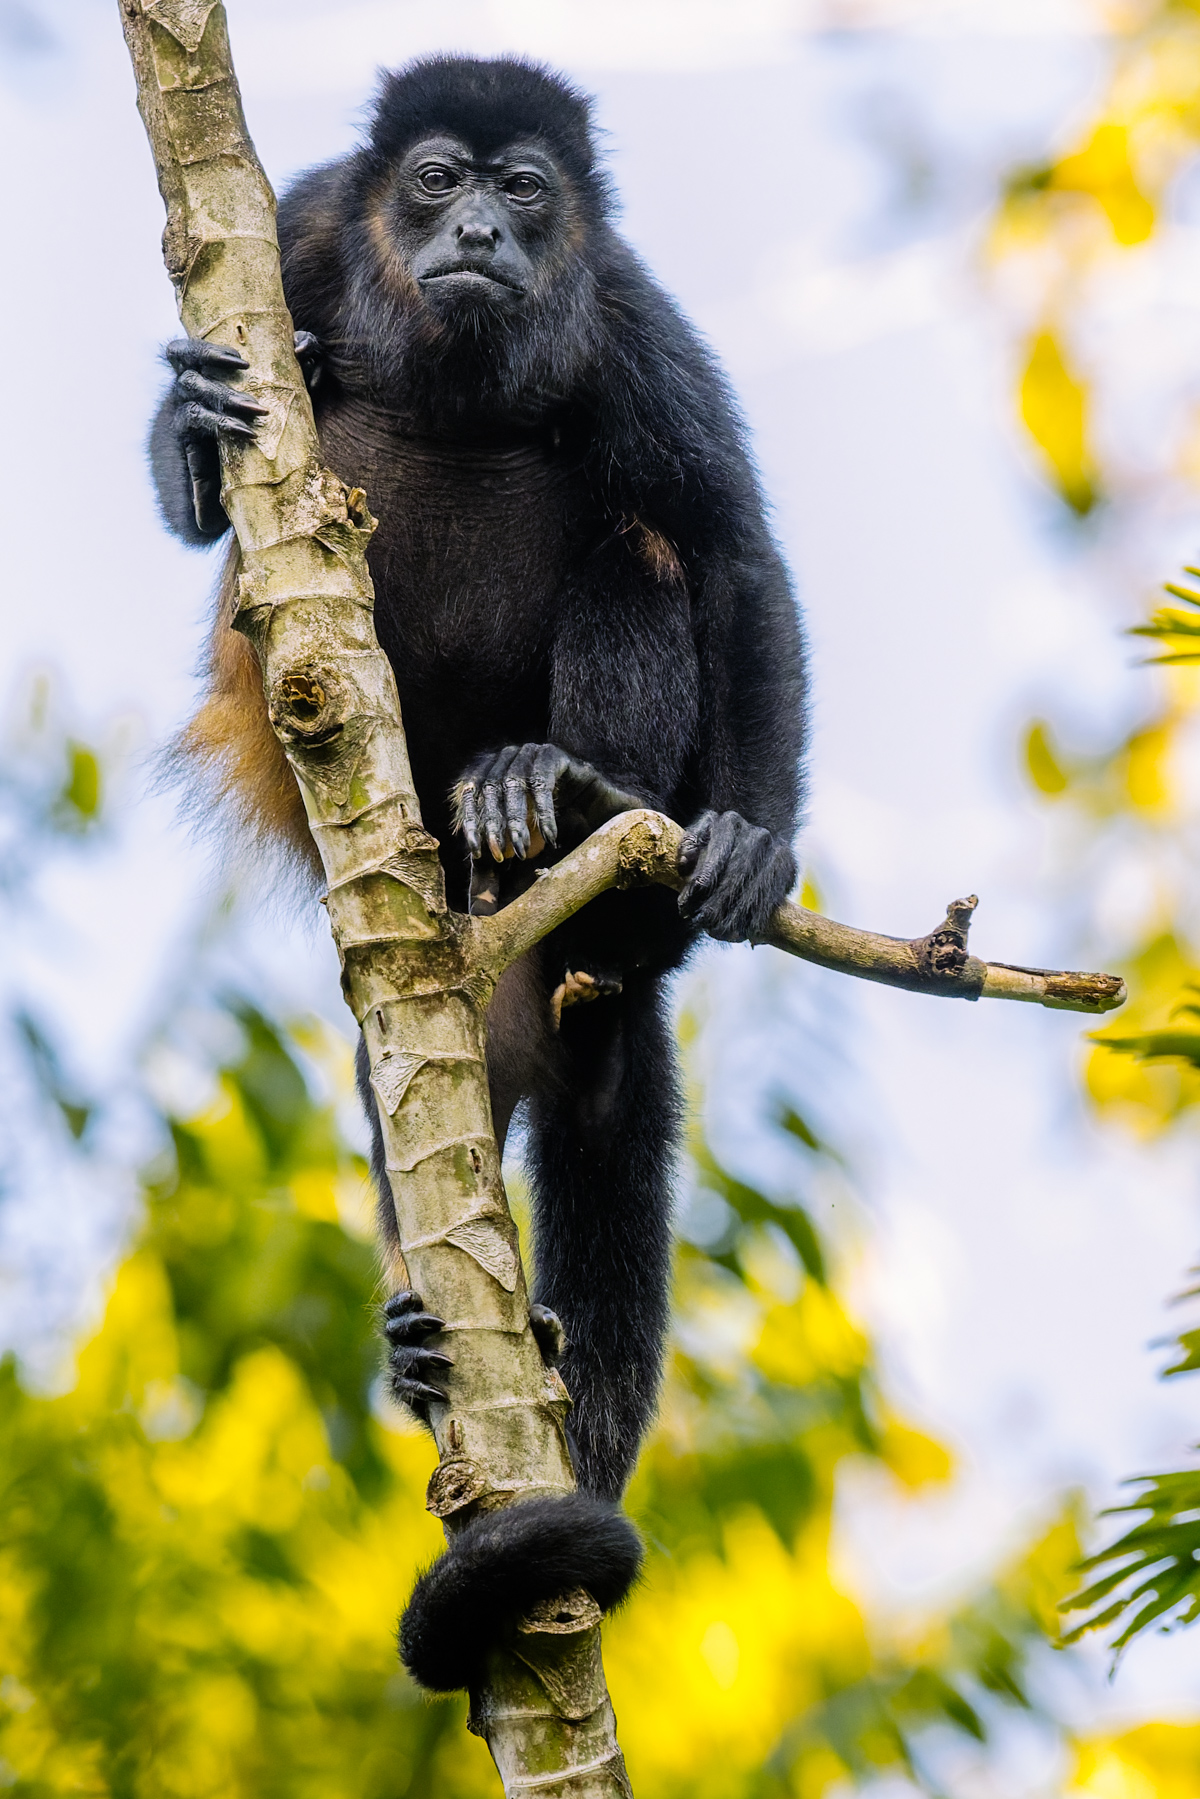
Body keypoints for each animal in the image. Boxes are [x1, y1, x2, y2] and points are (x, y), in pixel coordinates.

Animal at [149, 55, 806, 1692]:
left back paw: (572, 813)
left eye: (526, 191)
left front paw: (759, 840)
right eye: (439, 180)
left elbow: (732, 550)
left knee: (641, 552)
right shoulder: (302, 230)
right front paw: (185, 422)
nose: (484, 238)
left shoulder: (627, 314)